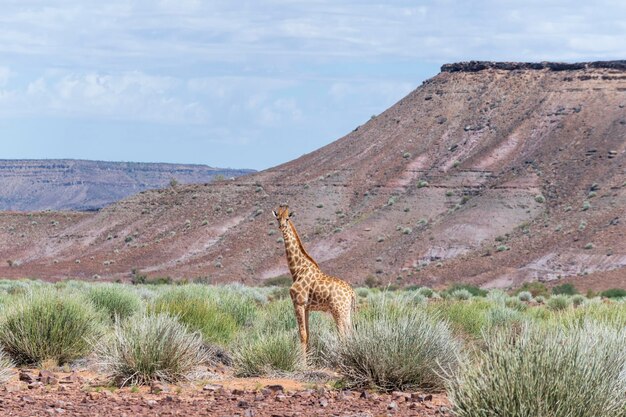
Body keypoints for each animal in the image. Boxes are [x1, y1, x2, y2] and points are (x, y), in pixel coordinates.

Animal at [270, 203, 354, 356]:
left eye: (287, 218)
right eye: (277, 218)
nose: (281, 227)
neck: (297, 270)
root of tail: (352, 293)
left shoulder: (298, 303)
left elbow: (302, 334)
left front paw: (302, 361)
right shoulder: (307, 307)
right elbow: (308, 334)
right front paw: (309, 359)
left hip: (338, 311)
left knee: (343, 335)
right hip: (346, 312)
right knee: (350, 333)